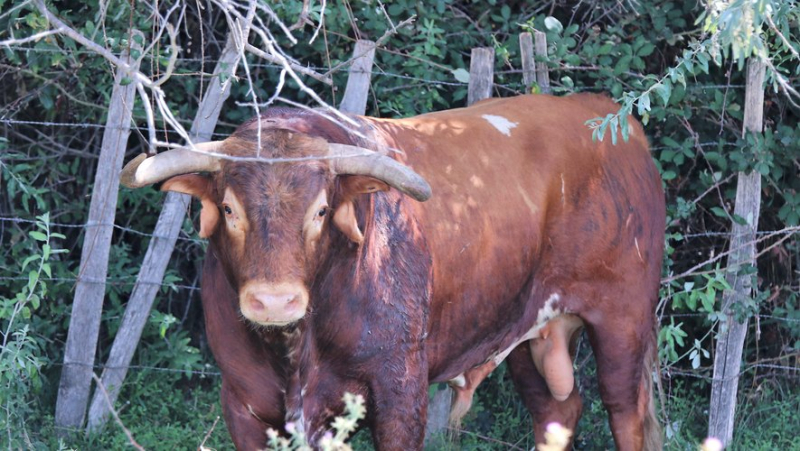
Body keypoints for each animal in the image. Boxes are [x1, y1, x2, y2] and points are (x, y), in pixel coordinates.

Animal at [122, 93, 664, 450]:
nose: (274, 302)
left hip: (623, 318)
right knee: (556, 412)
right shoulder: (244, 403)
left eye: (321, 210)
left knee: (625, 414)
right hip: (527, 330)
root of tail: (615, 118)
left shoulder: (399, 394)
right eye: (230, 209)